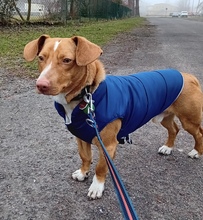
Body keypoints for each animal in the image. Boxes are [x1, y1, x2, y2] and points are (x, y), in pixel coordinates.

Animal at [24, 34, 203, 199]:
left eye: (67, 60)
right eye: (41, 58)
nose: (41, 85)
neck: (87, 96)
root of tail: (188, 76)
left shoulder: (108, 146)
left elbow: (100, 167)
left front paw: (97, 186)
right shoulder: (81, 138)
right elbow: (85, 157)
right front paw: (83, 172)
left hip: (189, 120)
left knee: (198, 133)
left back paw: (196, 152)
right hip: (164, 117)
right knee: (174, 129)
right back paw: (168, 147)